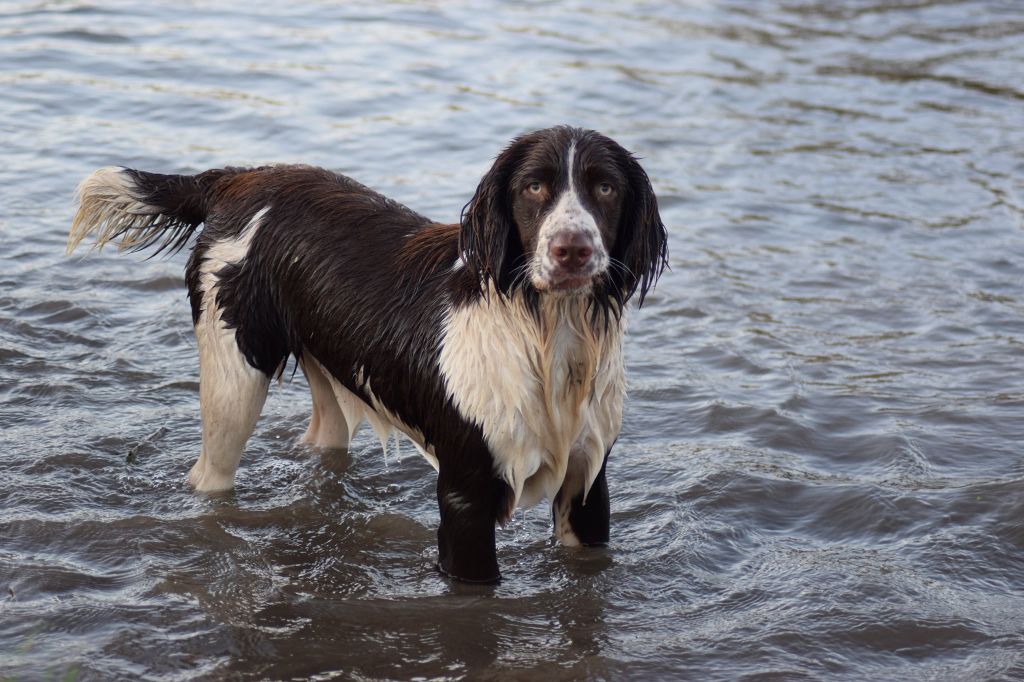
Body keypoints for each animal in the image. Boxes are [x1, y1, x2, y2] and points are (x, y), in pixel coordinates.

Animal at [68, 124, 667, 581]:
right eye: (534, 186)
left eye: (606, 188)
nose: (572, 250)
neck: (547, 333)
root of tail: (242, 177)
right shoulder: (465, 492)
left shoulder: (588, 482)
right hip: (233, 375)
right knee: (211, 477)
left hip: (324, 370)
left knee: (324, 437)